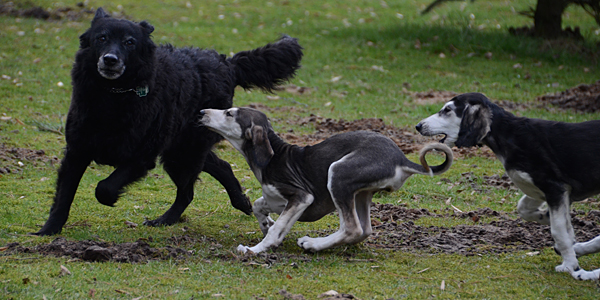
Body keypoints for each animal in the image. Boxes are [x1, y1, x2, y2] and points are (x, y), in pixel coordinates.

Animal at [32, 8, 302, 236]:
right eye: (102, 38)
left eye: (129, 42)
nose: (110, 59)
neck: (114, 95)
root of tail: (227, 63)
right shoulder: (77, 151)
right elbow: (64, 195)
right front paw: (48, 230)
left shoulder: (142, 156)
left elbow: (104, 188)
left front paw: (111, 198)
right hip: (180, 148)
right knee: (221, 166)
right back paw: (240, 202)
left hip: (183, 153)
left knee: (187, 192)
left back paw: (165, 220)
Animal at [199, 108, 452, 253]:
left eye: (229, 113)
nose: (201, 111)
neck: (273, 156)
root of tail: (401, 158)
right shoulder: (280, 199)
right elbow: (259, 205)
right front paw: (265, 224)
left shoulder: (302, 197)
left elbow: (276, 228)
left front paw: (256, 249)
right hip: (360, 193)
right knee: (364, 230)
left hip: (338, 174)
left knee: (351, 228)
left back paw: (312, 244)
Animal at [418, 92, 600, 280]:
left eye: (447, 110)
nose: (418, 126)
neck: (508, 135)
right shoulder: (548, 191)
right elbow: (524, 209)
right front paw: (547, 218)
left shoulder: (554, 188)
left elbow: (558, 231)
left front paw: (570, 265)